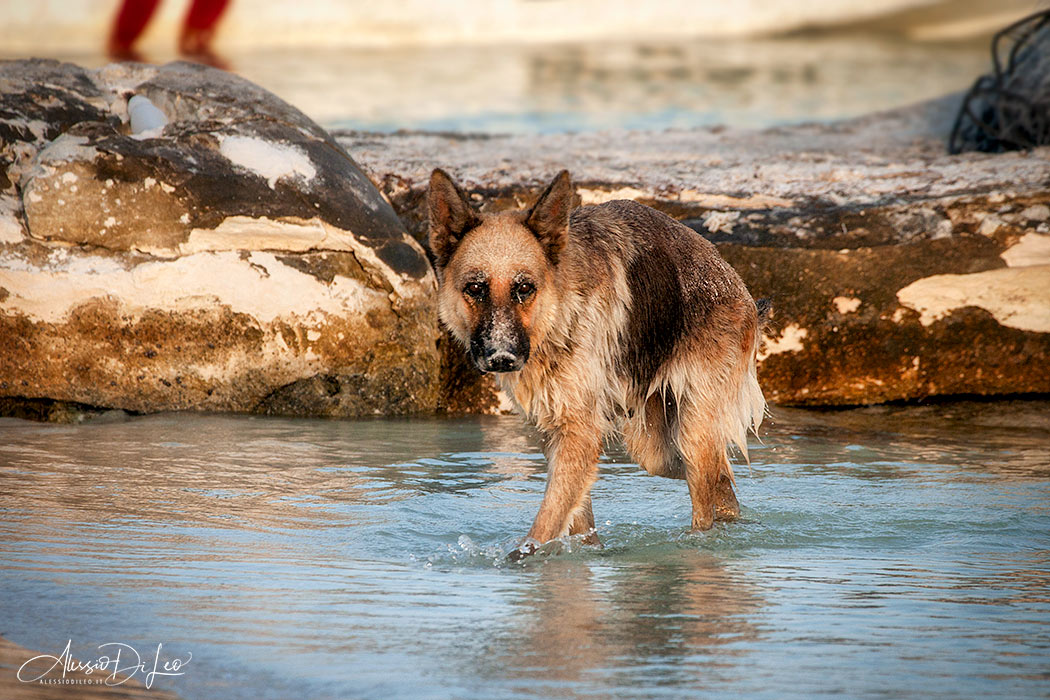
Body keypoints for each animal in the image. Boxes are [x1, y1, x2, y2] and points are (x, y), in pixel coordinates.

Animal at [426, 167, 764, 558]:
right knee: (722, 480)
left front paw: (522, 557)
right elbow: (574, 516)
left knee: (705, 500)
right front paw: (586, 552)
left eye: (524, 289)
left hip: (691, 434)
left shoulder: (580, 434)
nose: (502, 357)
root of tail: (735, 281)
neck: (558, 317)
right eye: (475, 289)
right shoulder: (558, 434)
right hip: (656, 449)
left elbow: (545, 523)